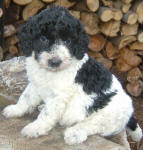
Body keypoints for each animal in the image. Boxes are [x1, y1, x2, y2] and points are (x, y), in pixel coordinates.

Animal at [2, 6, 142, 145]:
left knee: (92, 125)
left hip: (107, 114)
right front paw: (15, 110)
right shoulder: (35, 84)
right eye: (43, 39)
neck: (50, 72)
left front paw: (35, 128)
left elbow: (47, 113)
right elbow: (25, 98)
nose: (55, 62)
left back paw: (75, 133)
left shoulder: (58, 96)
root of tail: (130, 113)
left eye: (68, 41)